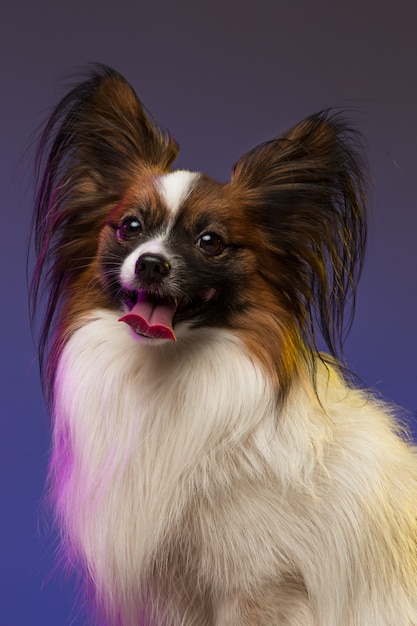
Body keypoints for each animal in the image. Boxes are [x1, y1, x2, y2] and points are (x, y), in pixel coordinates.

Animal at [30, 66, 416, 620]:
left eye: (209, 241)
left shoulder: (259, 587)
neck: (167, 376)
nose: (151, 263)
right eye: (130, 227)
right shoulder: (176, 593)